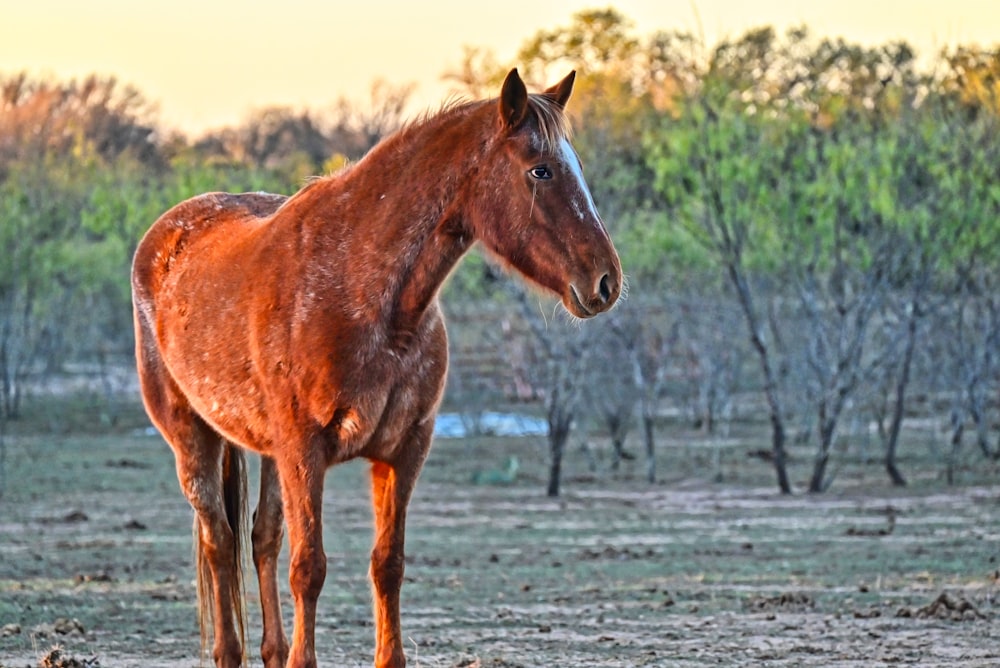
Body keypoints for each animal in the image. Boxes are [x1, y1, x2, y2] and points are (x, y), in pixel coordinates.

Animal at [130, 65, 620, 664]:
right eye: (541, 169)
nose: (606, 280)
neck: (358, 289)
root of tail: (167, 237)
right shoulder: (304, 452)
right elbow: (309, 568)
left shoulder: (404, 449)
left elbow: (387, 564)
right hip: (193, 439)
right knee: (219, 541)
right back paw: (229, 649)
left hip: (264, 453)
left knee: (261, 537)